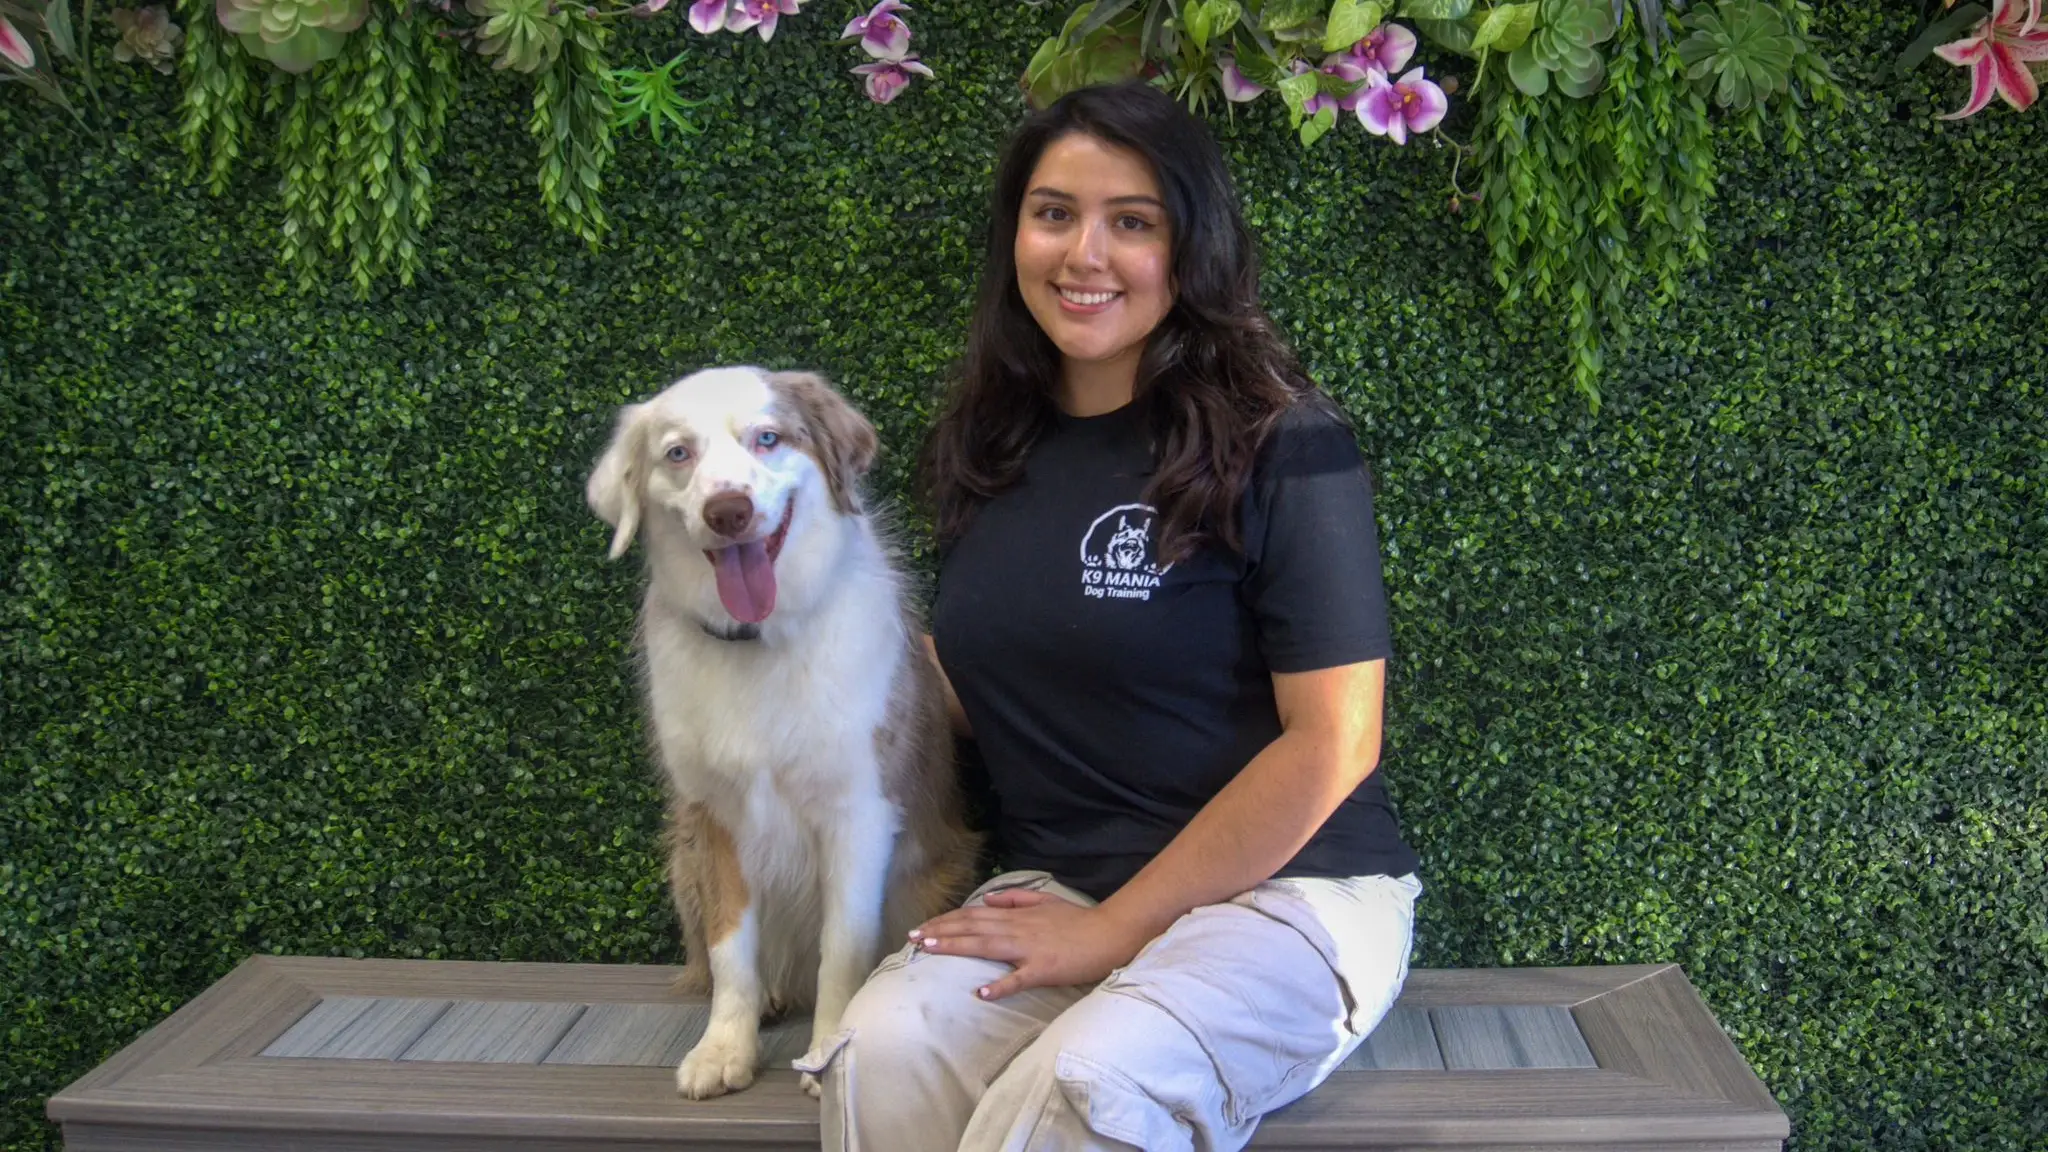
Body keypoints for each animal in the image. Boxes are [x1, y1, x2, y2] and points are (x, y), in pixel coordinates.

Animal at [585, 364, 983, 1090]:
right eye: (677, 453)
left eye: (767, 438)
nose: (728, 510)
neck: (759, 642)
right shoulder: (715, 816)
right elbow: (729, 949)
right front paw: (724, 1049)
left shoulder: (856, 811)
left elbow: (843, 948)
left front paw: (826, 1052)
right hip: (681, 857)